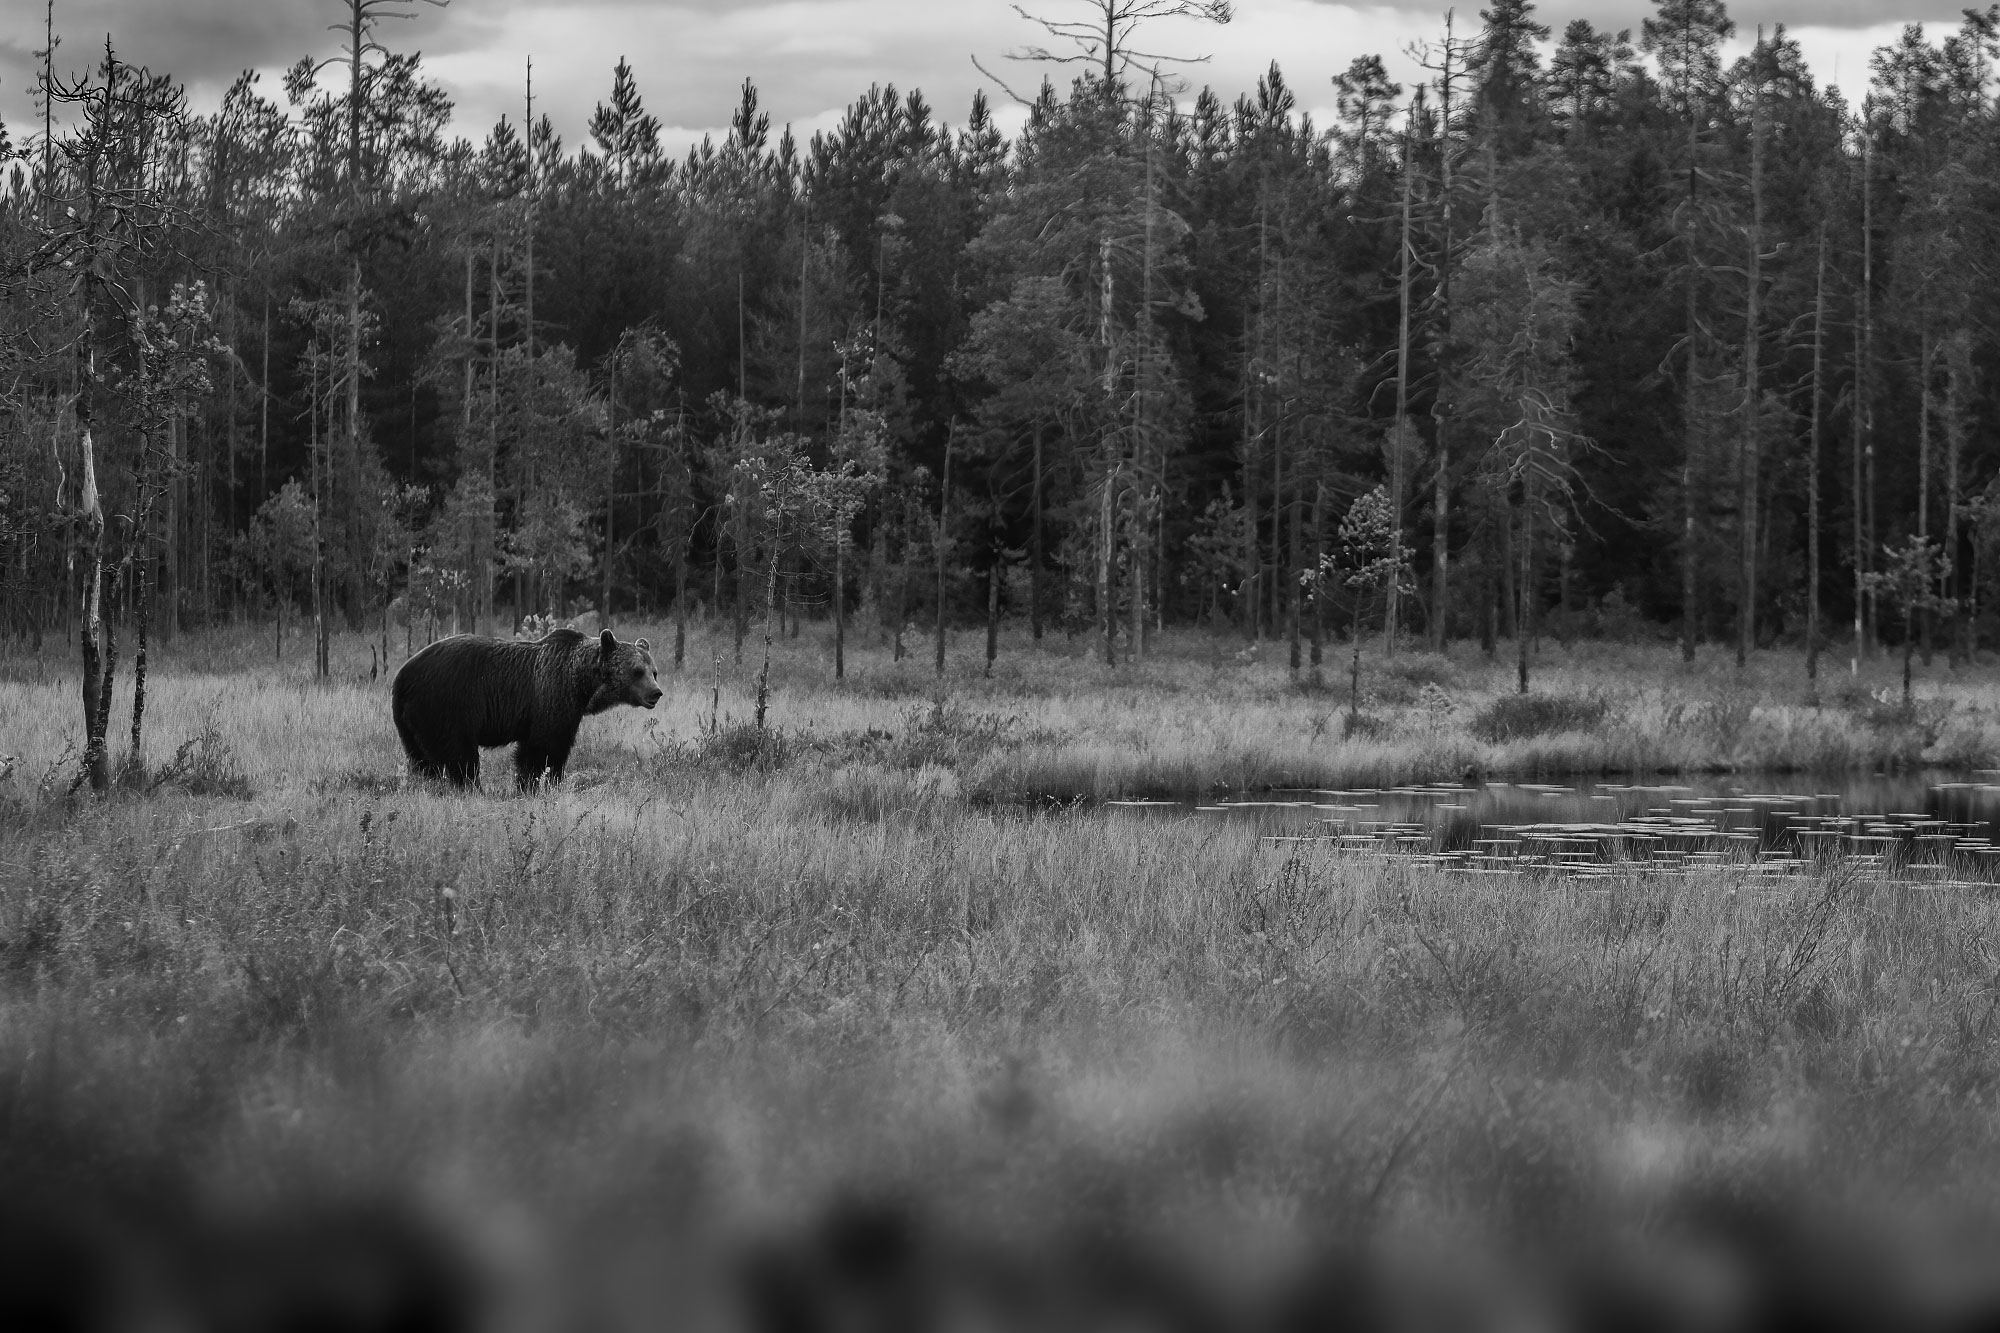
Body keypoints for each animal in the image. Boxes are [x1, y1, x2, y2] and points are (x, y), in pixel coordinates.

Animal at [390, 624, 664, 788]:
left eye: (654, 671)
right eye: (637, 671)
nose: (656, 693)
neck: (582, 683)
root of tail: (402, 675)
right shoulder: (551, 697)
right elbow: (543, 748)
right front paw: (535, 783)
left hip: (411, 720)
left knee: (420, 757)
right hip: (447, 704)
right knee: (460, 754)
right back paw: (471, 787)